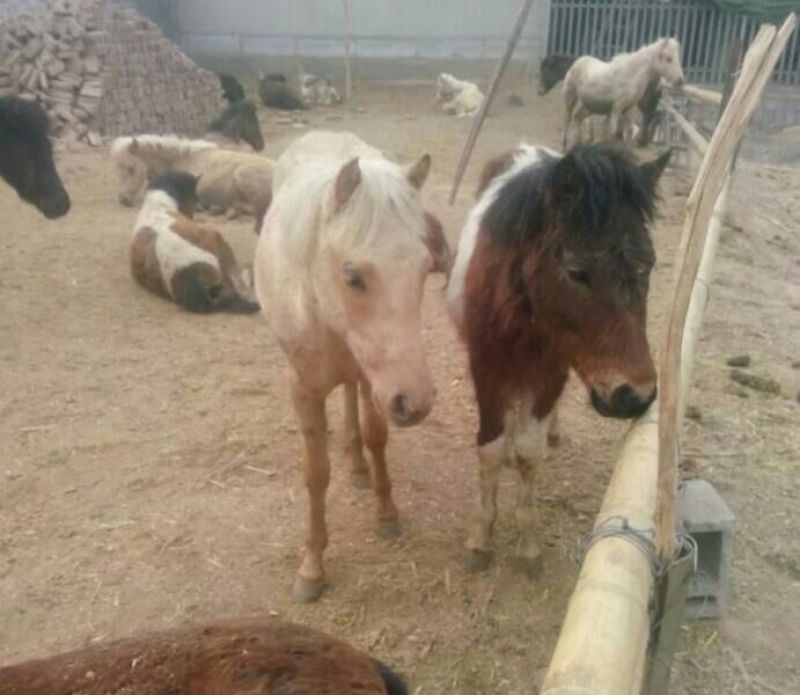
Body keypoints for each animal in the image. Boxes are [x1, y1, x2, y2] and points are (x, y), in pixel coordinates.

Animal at [255, 130, 440, 603]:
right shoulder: (303, 390)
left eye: (426, 269)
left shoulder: (376, 378)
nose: (416, 402)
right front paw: (312, 567)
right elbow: (316, 473)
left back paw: (357, 463)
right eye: (353, 276)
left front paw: (387, 513)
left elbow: (377, 438)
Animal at [447, 143, 671, 576]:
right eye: (576, 271)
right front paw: (481, 538)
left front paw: (528, 544)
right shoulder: (486, 371)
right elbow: (491, 450)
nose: (635, 395)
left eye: (647, 263)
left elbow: (528, 453)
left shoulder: (551, 372)